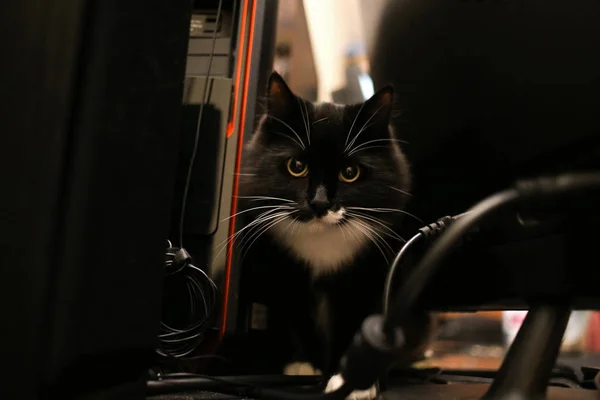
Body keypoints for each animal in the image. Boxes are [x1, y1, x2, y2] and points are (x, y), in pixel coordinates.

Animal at [237, 73, 428, 398]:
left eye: (350, 172)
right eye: (296, 167)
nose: (320, 203)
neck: (322, 241)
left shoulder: (369, 274)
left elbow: (357, 323)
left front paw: (351, 382)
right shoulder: (287, 273)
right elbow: (297, 318)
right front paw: (304, 364)